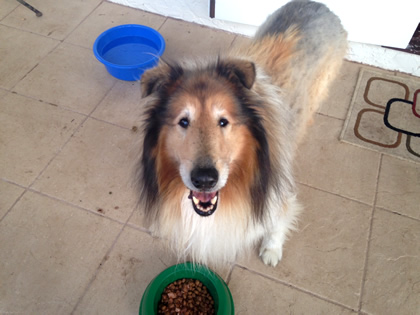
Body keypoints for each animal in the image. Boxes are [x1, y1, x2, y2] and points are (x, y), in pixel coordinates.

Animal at [136, 0, 346, 268]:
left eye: (223, 121)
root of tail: (318, 5)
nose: (205, 180)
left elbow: (278, 221)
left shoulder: (277, 193)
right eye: (183, 122)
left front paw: (271, 251)